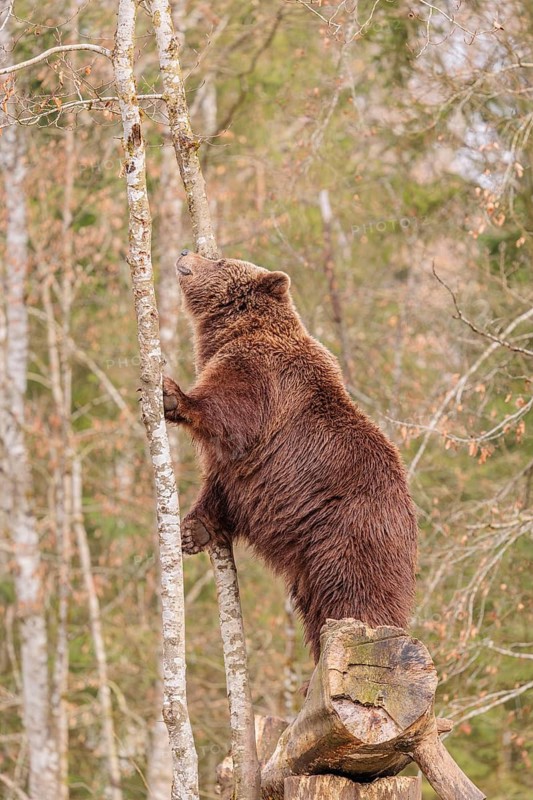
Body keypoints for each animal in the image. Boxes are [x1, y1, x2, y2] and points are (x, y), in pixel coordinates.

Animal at [163, 250, 418, 663]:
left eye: (219, 261)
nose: (186, 253)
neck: (232, 333)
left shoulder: (262, 377)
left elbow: (230, 411)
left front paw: (173, 395)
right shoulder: (245, 470)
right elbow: (221, 488)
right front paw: (193, 530)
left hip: (349, 536)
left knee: (356, 597)